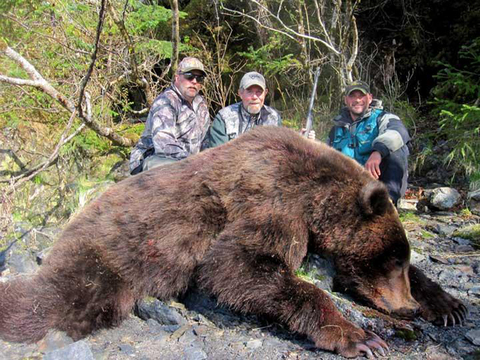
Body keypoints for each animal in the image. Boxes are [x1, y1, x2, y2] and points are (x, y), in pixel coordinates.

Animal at [0, 126, 466, 358]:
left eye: (400, 258)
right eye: (389, 260)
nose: (407, 309)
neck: (314, 192)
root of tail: (73, 221)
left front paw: (448, 304)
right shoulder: (271, 199)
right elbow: (235, 265)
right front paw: (360, 337)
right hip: (104, 258)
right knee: (50, 303)